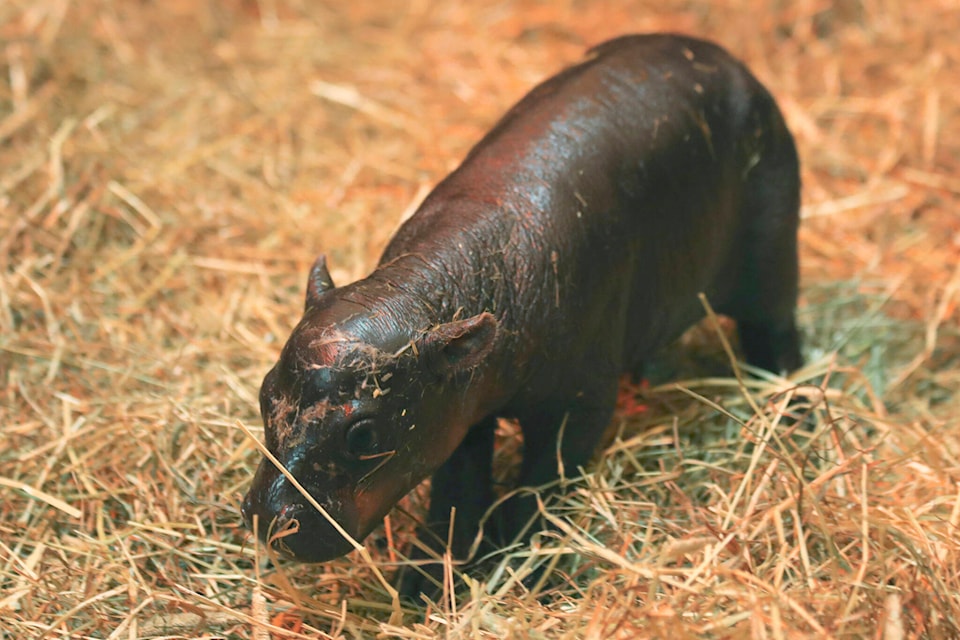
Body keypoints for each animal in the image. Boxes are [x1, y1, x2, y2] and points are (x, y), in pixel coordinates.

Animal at [241, 33, 802, 595]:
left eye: (364, 434)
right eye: (265, 392)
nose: (269, 519)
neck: (424, 292)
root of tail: (729, 60)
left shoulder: (579, 405)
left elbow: (541, 485)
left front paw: (514, 568)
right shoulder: (459, 411)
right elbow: (457, 495)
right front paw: (425, 585)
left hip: (772, 260)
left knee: (777, 333)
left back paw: (792, 411)